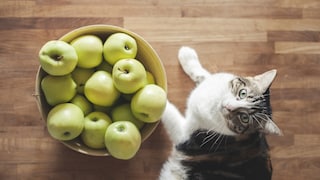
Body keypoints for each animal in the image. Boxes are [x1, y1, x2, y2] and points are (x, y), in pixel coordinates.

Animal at [159, 46, 282, 180]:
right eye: (242, 93)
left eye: (244, 118)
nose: (228, 107)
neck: (214, 105)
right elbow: (202, 74)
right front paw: (187, 56)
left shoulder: (185, 135)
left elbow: (169, 111)